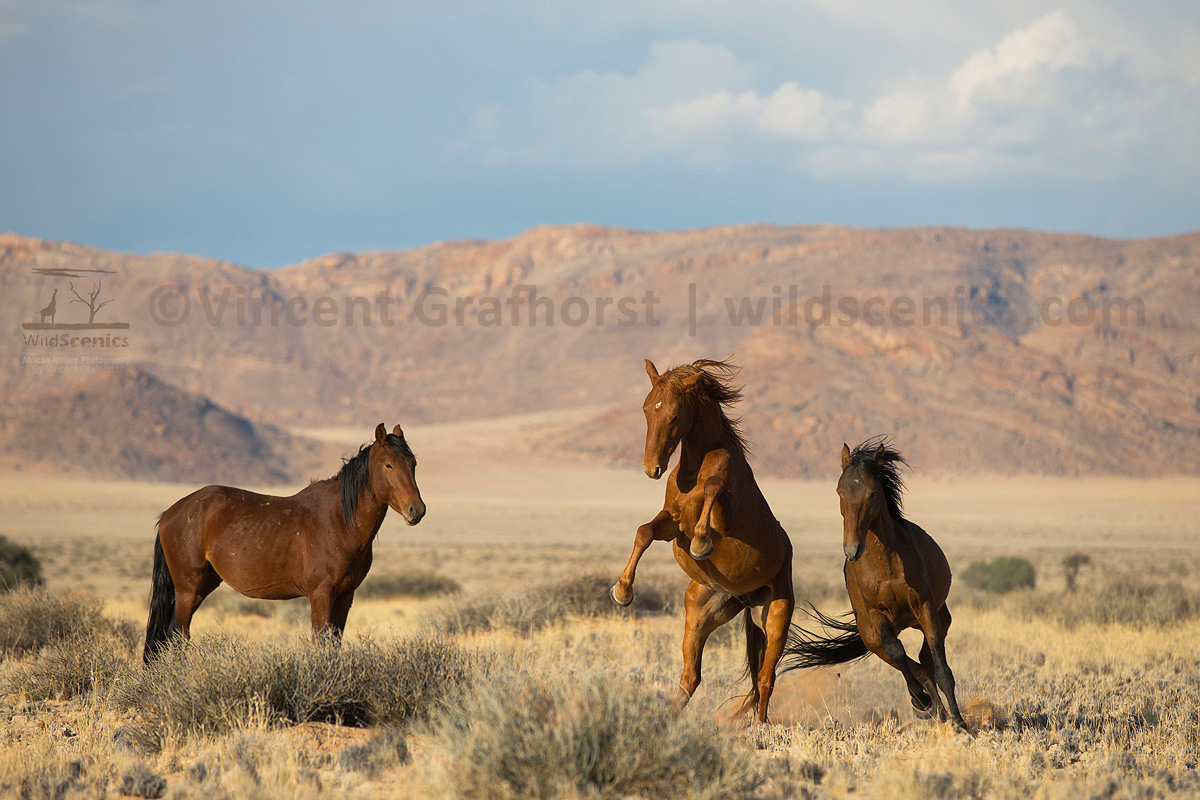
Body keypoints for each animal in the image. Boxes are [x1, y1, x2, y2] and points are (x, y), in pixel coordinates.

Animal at [143, 423, 424, 662]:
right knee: (178, 636)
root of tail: (170, 513)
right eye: (388, 465)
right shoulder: (321, 594)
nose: (416, 510)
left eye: (413, 463)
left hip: (203, 584)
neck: (340, 521)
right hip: (187, 588)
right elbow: (321, 643)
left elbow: (334, 644)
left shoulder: (346, 595)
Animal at [610, 358, 795, 723]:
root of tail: (746, 599)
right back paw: (666, 717)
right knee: (691, 677)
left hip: (776, 615)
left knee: (766, 678)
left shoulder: (724, 517)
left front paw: (700, 544)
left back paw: (759, 726)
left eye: (675, 415)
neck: (693, 468)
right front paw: (622, 591)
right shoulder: (672, 522)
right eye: (646, 410)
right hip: (699, 614)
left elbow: (713, 487)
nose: (651, 468)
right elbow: (644, 532)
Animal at [782, 437, 967, 731]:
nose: (851, 549)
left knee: (926, 660)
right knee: (915, 666)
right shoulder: (877, 615)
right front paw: (922, 702)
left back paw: (941, 712)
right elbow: (898, 652)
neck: (886, 563)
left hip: (936, 618)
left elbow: (941, 667)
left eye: (871, 493)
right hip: (872, 639)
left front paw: (960, 723)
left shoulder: (925, 607)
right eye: (839, 491)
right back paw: (927, 707)